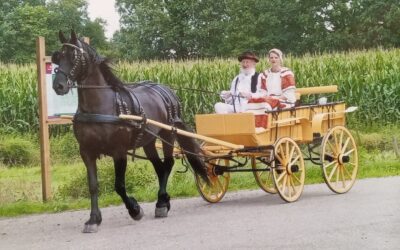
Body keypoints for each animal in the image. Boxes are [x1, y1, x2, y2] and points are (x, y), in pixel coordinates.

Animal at [51, 30, 208, 232]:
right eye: (58, 57)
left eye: (74, 56)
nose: (58, 85)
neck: (100, 107)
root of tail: (166, 91)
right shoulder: (86, 152)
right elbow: (93, 185)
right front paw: (93, 219)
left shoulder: (119, 152)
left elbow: (119, 185)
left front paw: (135, 209)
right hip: (149, 141)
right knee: (159, 168)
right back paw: (163, 200)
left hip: (167, 135)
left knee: (168, 164)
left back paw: (161, 204)